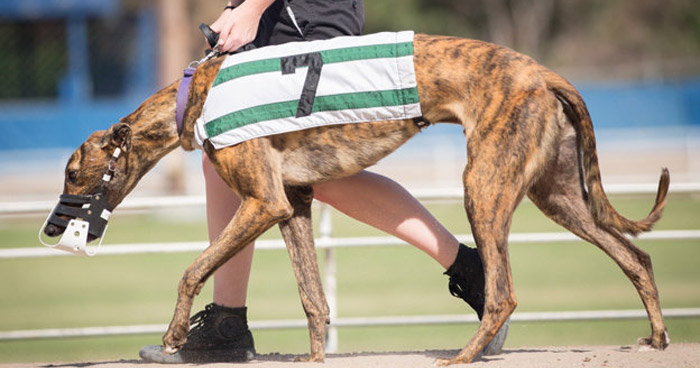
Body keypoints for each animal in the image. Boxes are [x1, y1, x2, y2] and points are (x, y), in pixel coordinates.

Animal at [42, 34, 668, 366]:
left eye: (72, 172)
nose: (49, 232)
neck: (195, 95)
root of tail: (545, 74)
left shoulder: (263, 203)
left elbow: (193, 269)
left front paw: (175, 338)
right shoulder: (292, 204)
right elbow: (313, 299)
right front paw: (316, 359)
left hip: (484, 187)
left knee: (504, 294)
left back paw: (462, 355)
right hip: (555, 193)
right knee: (636, 255)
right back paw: (658, 337)